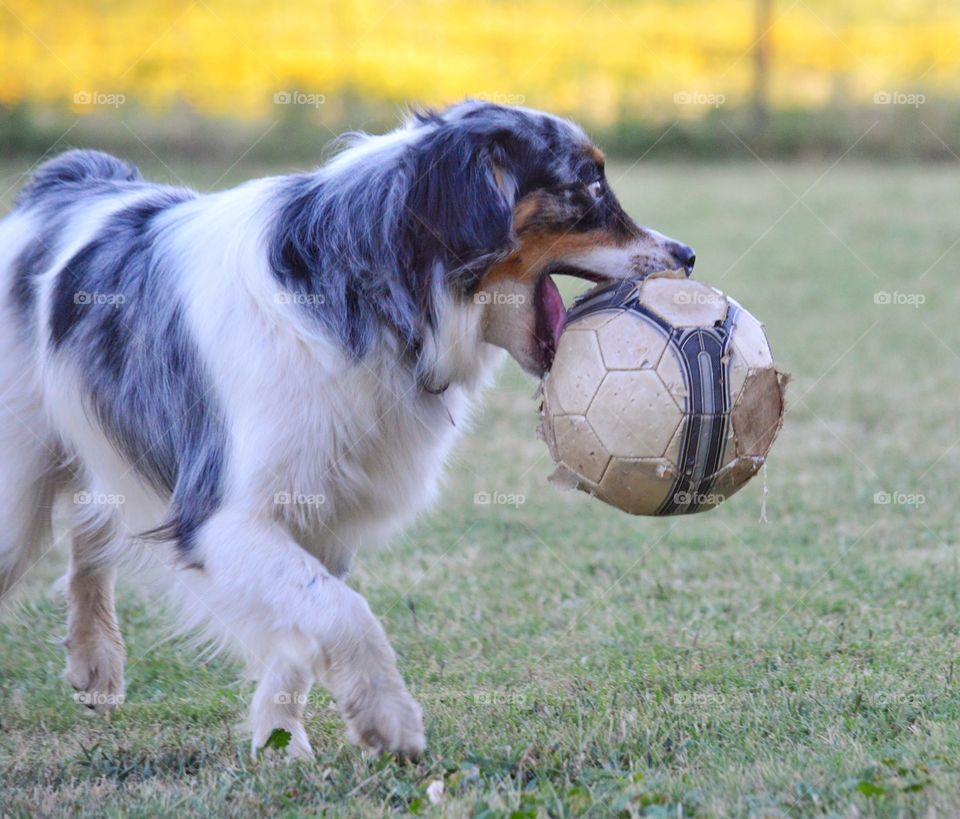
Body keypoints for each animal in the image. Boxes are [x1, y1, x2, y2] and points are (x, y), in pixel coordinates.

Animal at [0, 102, 692, 764]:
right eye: (590, 185)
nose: (686, 255)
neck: (374, 291)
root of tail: (68, 183)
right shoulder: (221, 515)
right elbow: (343, 612)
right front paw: (389, 719)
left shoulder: (322, 512)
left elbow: (305, 629)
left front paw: (281, 742)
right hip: (18, 497)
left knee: (91, 527)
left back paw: (95, 660)